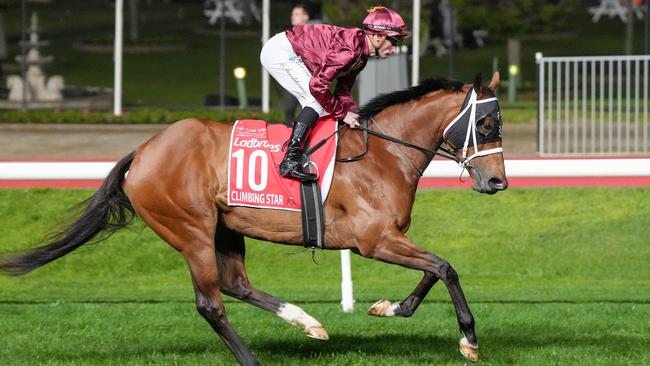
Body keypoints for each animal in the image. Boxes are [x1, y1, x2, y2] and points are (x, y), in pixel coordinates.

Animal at [0, 71, 506, 364]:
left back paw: (307, 321)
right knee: (211, 302)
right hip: (191, 229)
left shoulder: (389, 237)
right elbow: (445, 267)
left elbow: (434, 270)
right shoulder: (373, 239)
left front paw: (390, 307)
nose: (498, 182)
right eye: (485, 125)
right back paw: (254, 358)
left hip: (225, 229)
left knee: (235, 284)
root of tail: (142, 152)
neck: (383, 153)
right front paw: (469, 339)